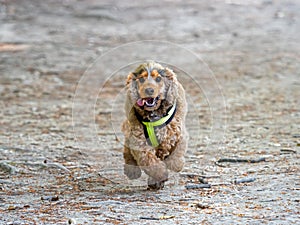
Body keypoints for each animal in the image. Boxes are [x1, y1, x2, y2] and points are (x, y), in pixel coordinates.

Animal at [122, 60, 188, 189]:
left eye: (158, 79)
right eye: (142, 79)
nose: (149, 90)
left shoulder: (177, 132)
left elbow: (175, 152)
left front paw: (176, 164)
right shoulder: (139, 138)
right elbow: (149, 160)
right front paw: (160, 174)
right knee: (127, 147)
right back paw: (132, 170)